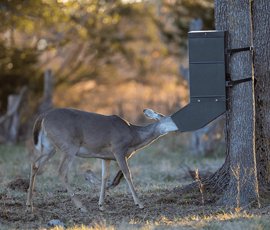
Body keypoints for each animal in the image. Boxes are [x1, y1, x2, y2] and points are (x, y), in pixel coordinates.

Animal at [26, 108, 179, 212]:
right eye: (170, 118)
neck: (133, 137)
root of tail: (43, 116)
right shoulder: (118, 149)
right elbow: (127, 173)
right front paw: (139, 203)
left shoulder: (105, 156)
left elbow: (105, 176)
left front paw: (101, 205)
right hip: (69, 145)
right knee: (61, 171)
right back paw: (81, 206)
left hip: (49, 146)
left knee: (35, 164)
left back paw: (29, 204)